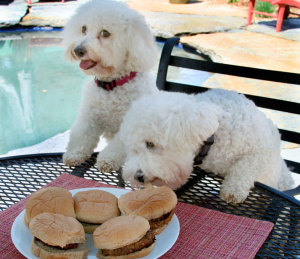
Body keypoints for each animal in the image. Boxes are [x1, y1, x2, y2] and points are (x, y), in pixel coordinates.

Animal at [118, 89, 294, 203]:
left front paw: (233, 189)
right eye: (131, 149)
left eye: (150, 144)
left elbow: (247, 165)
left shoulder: (264, 147)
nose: (137, 176)